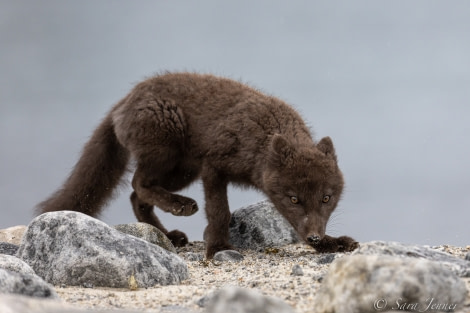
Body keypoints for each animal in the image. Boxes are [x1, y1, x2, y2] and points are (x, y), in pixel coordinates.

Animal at [37, 72, 360, 256]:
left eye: (326, 198)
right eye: (293, 199)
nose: (315, 237)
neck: (260, 138)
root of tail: (124, 101)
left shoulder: (206, 169)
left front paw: (332, 243)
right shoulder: (213, 166)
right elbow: (219, 210)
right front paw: (218, 247)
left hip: (183, 170)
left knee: (135, 194)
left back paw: (168, 235)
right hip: (169, 152)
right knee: (138, 183)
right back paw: (180, 206)